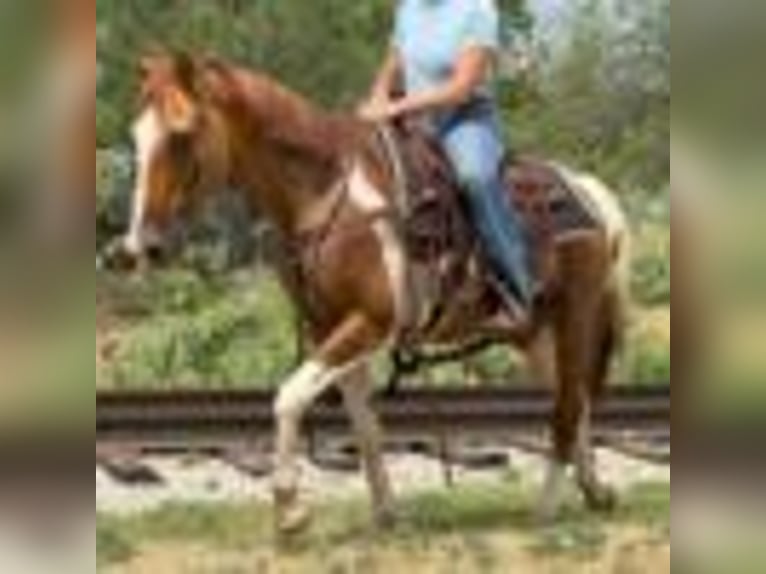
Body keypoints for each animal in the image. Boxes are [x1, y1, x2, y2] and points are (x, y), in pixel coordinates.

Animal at [104, 53, 631, 534]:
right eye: (136, 136)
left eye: (182, 133)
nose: (138, 245)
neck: (326, 192)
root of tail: (587, 191)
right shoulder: (328, 328)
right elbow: (365, 424)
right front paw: (386, 513)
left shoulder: (370, 321)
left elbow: (289, 397)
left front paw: (289, 508)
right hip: (536, 332)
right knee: (575, 400)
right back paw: (595, 490)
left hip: (576, 316)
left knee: (567, 408)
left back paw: (546, 509)